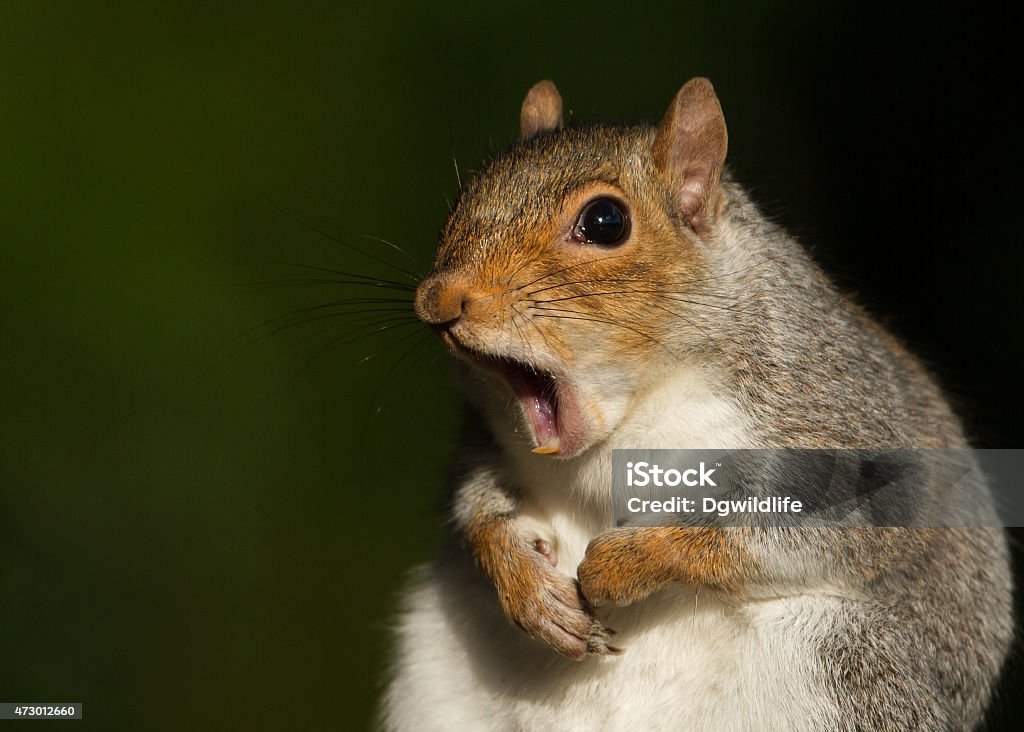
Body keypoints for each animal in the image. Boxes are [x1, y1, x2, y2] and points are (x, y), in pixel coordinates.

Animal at [380, 80, 1011, 732]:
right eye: (463, 197)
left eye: (605, 221)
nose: (437, 301)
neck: (634, 413)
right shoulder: (487, 440)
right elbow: (479, 503)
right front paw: (527, 584)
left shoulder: (841, 423)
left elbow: (817, 531)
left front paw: (623, 564)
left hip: (848, 666)